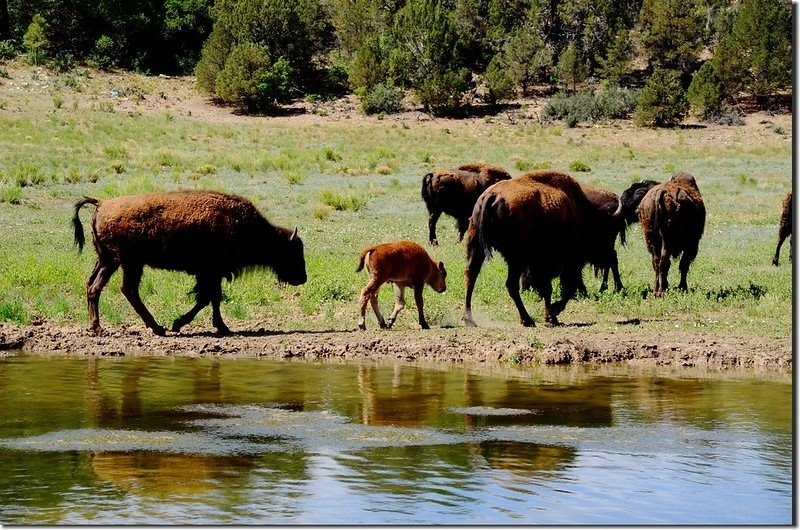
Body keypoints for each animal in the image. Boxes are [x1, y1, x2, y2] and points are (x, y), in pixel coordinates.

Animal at [72, 190, 306, 334]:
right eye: (292, 252)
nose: (303, 278)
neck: (241, 223)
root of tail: (101, 204)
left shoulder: (212, 274)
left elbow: (212, 298)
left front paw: (220, 327)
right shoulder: (210, 272)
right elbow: (207, 298)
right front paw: (179, 324)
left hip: (108, 261)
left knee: (93, 286)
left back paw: (98, 327)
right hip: (126, 263)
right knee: (123, 289)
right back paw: (155, 328)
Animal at [462, 169, 624, 326]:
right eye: (605, 232)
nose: (610, 254)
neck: (581, 213)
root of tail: (491, 196)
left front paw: (551, 315)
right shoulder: (561, 261)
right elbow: (561, 288)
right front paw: (552, 314)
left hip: (476, 246)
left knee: (471, 276)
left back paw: (469, 319)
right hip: (517, 259)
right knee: (511, 284)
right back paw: (527, 320)